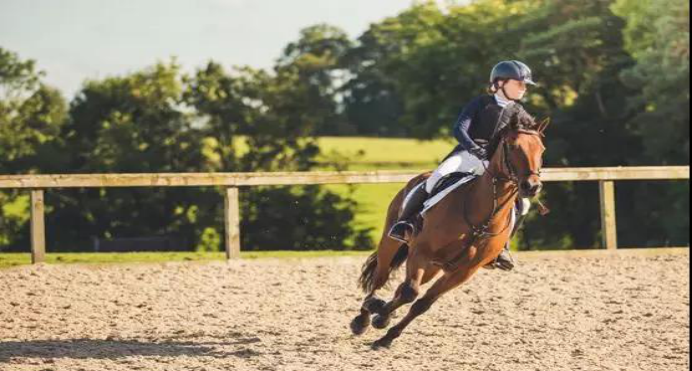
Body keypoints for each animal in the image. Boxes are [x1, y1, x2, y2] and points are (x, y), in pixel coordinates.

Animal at [348, 112, 548, 350]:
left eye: (541, 149)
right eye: (512, 145)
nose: (532, 186)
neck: (481, 218)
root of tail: (419, 177)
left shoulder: (462, 271)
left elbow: (422, 303)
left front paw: (387, 335)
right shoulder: (421, 252)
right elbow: (410, 292)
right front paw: (380, 317)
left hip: (434, 267)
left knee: (402, 287)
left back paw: (379, 315)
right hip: (393, 244)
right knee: (381, 277)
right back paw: (364, 316)